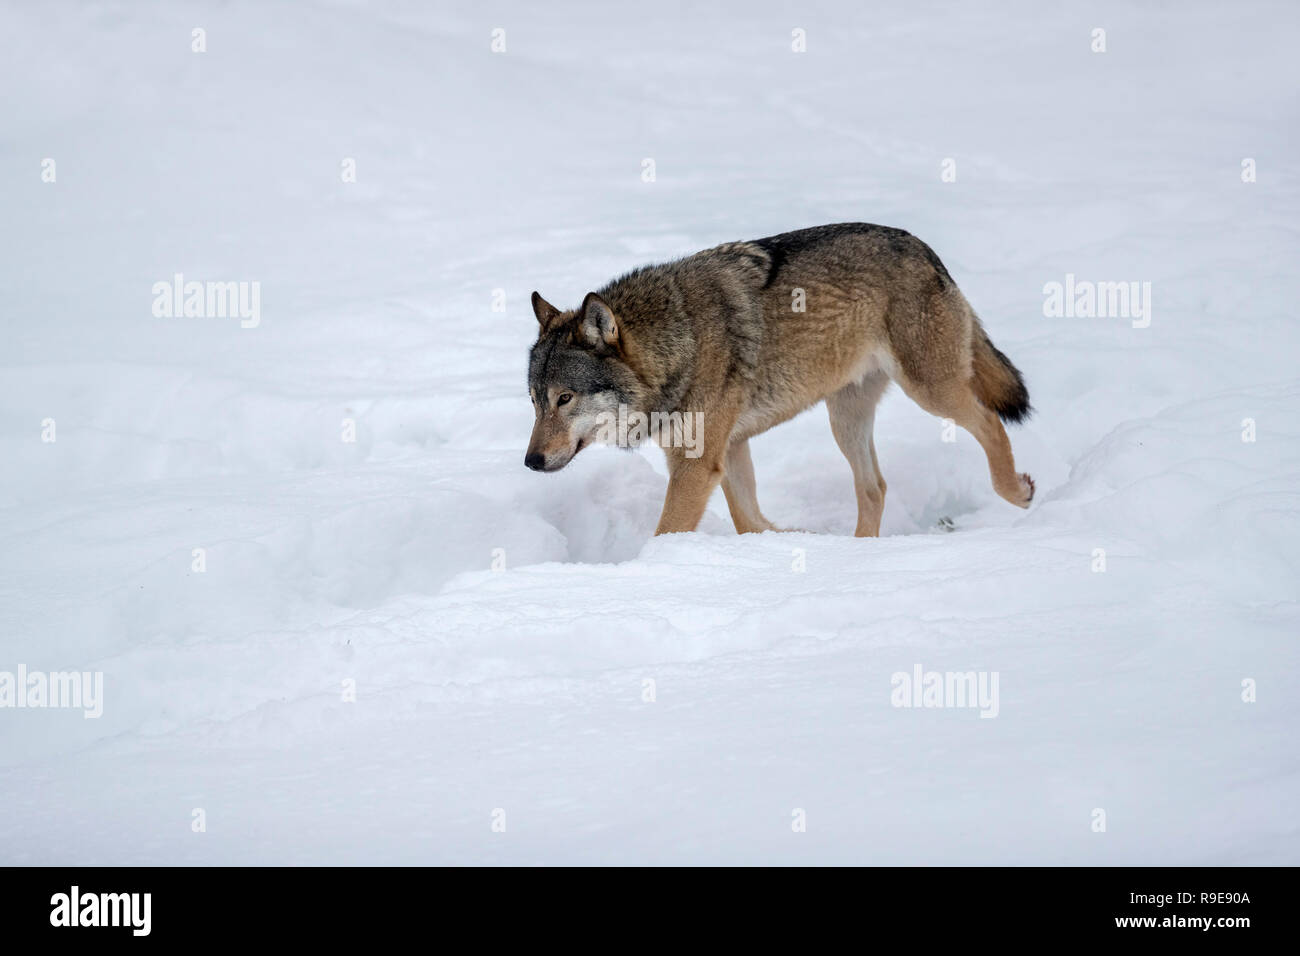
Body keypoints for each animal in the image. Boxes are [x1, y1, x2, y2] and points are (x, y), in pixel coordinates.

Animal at [526, 223, 1033, 537]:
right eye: (534, 400)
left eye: (565, 398)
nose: (530, 461)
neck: (677, 342)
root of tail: (925, 249)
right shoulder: (726, 450)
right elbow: (749, 520)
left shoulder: (698, 462)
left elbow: (671, 529)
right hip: (845, 418)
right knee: (874, 488)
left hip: (930, 391)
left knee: (991, 425)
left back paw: (1017, 492)